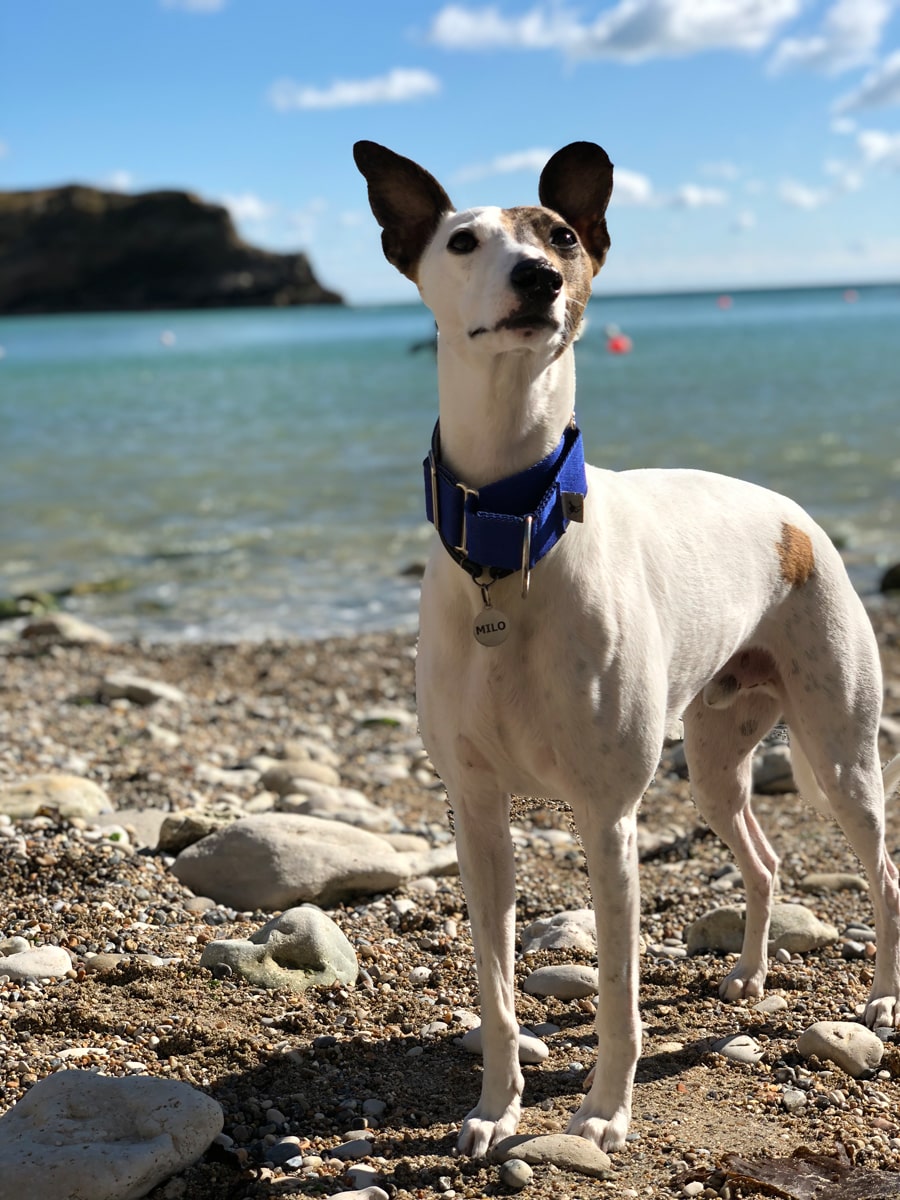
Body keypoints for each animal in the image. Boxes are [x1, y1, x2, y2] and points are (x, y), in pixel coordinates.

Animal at [355, 138, 900, 1152]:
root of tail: (796, 518)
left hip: (842, 755)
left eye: (561, 235)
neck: (514, 530)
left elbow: (616, 985)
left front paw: (604, 1113)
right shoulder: (476, 814)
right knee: (763, 860)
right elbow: (495, 991)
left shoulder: (606, 815)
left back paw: (884, 999)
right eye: (462, 239)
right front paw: (493, 1110)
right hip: (718, 762)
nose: (536, 277)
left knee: (883, 874)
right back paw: (751, 976)